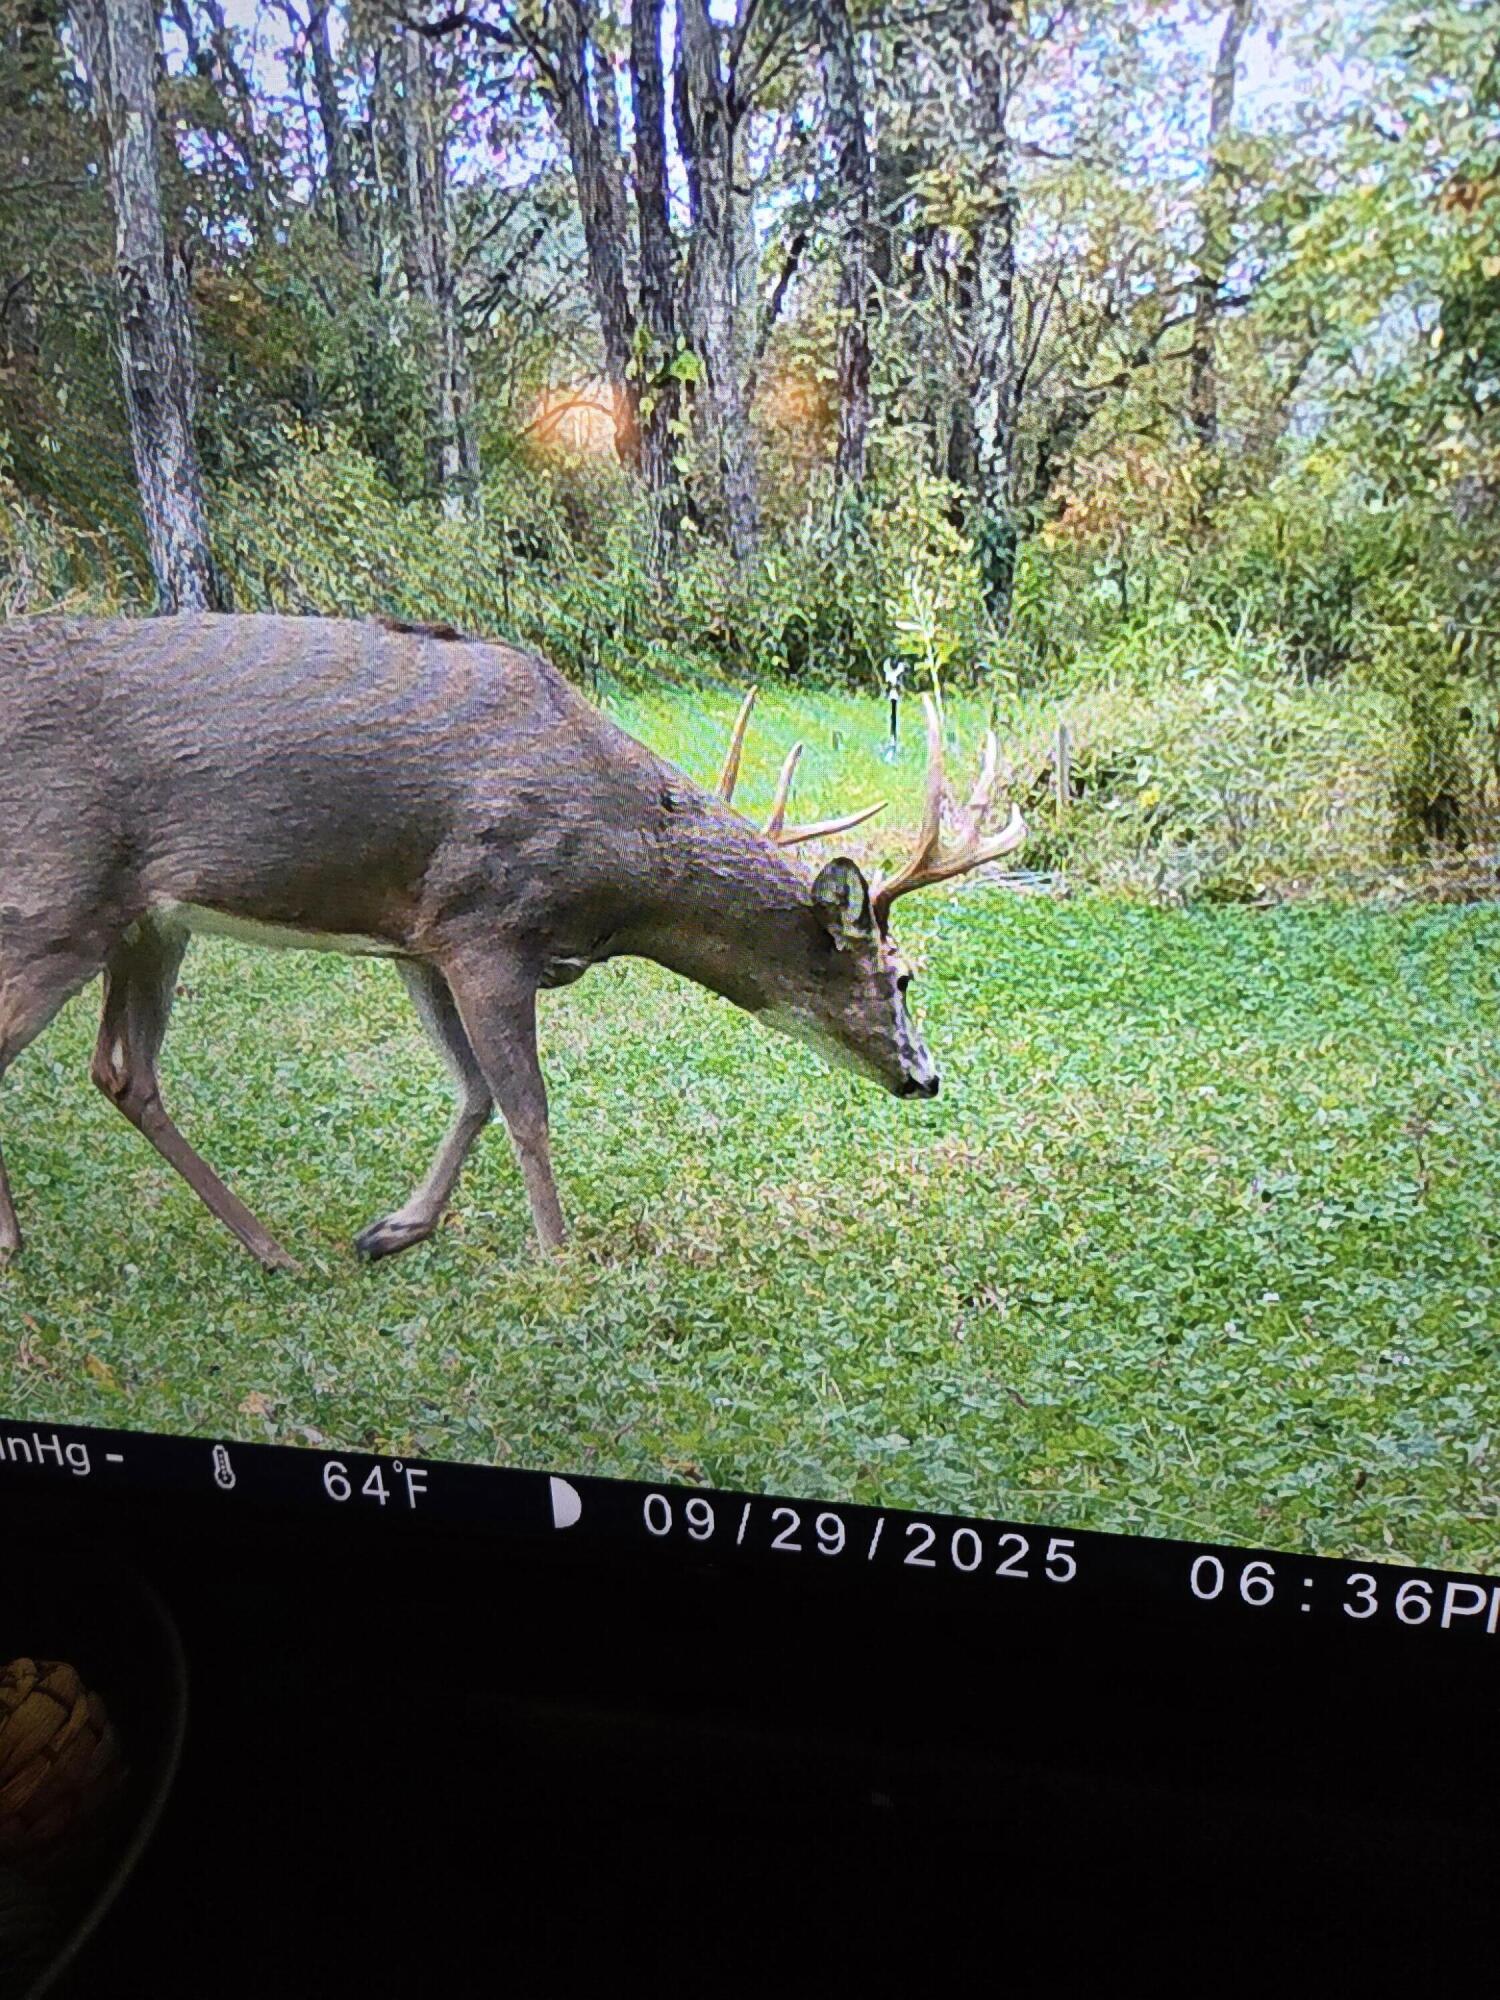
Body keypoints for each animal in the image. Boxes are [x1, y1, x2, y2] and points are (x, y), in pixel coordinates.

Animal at [0, 613, 1025, 1271]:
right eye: (903, 975)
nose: (926, 1077)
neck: (623, 872)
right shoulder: (486, 921)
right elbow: (527, 1106)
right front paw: (560, 1262)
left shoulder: (419, 937)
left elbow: (474, 1093)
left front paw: (395, 1230)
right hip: (58, 894)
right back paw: (21, 1244)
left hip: (145, 919)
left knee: (124, 1070)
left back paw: (275, 1252)